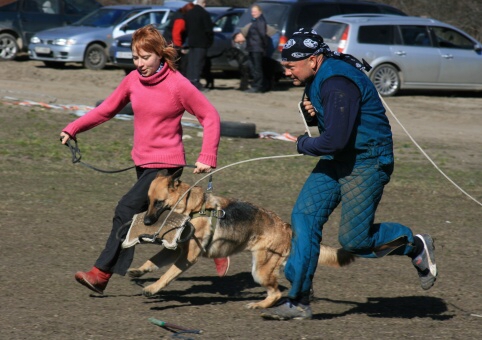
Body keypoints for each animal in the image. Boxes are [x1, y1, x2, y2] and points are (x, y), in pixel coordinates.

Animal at [127, 169, 354, 308]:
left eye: (158, 202)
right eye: (148, 201)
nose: (146, 221)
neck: (192, 208)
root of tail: (287, 228)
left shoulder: (188, 257)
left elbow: (167, 275)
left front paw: (152, 288)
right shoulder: (175, 250)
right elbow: (153, 261)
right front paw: (138, 270)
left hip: (260, 271)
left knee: (276, 293)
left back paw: (259, 305)